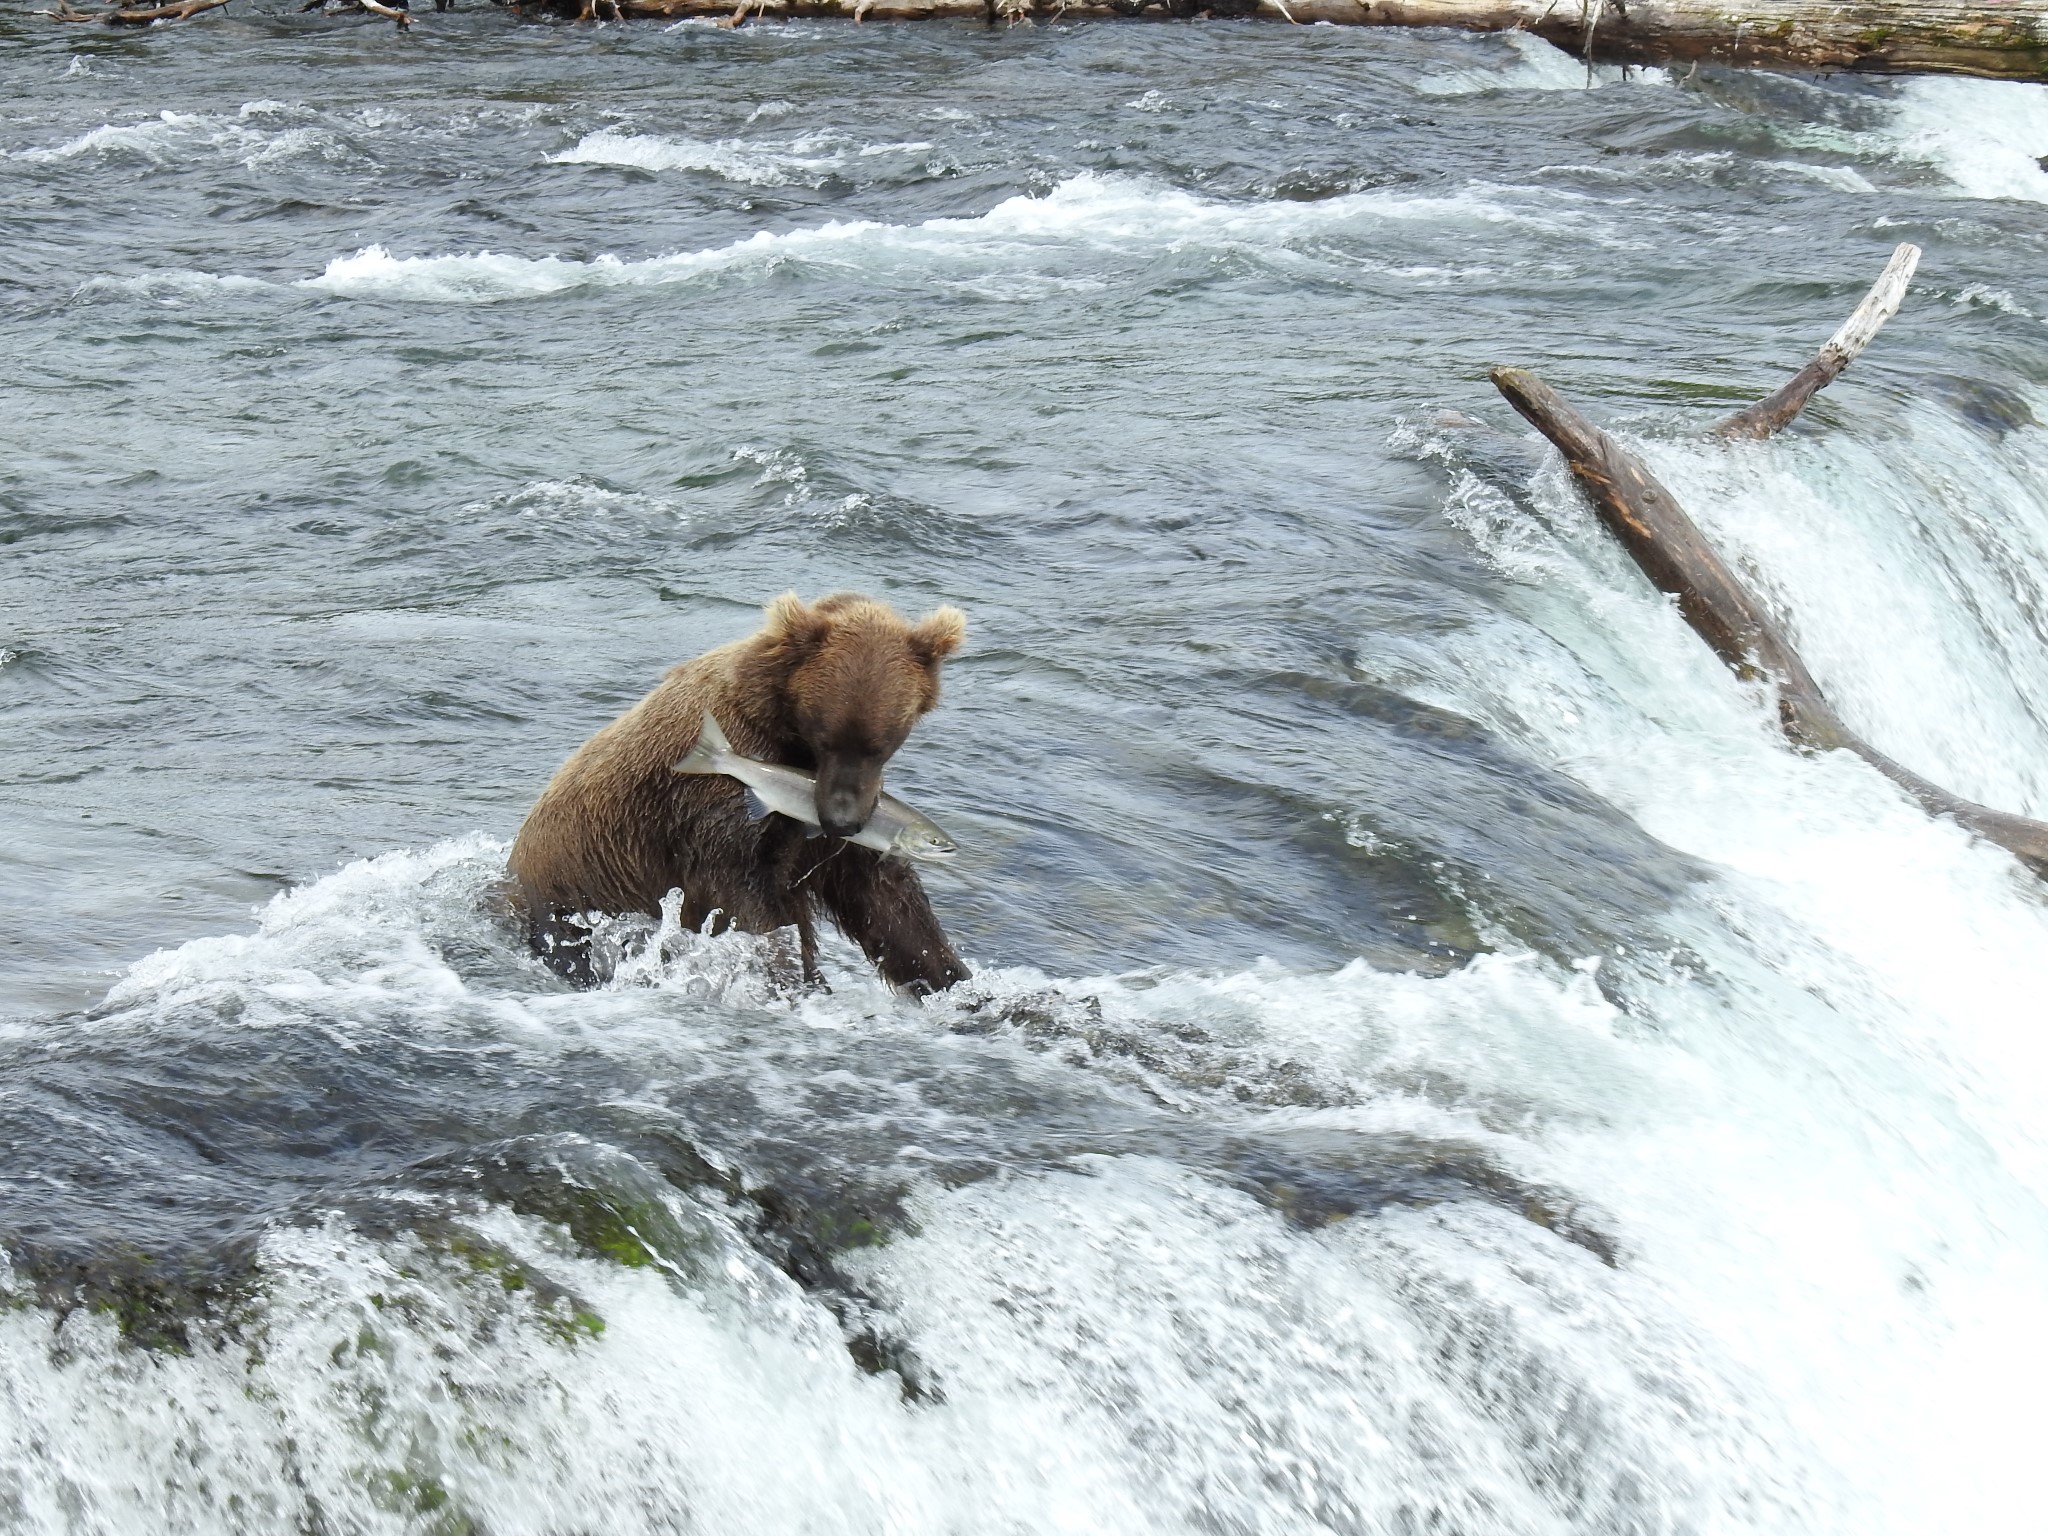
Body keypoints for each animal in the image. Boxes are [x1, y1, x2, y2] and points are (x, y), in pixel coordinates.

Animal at [501, 589, 966, 999]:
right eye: (826, 736)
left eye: (882, 744)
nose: (841, 820)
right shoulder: (715, 802)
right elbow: (744, 900)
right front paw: (797, 982)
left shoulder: (847, 817)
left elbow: (886, 901)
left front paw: (959, 986)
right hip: (577, 901)